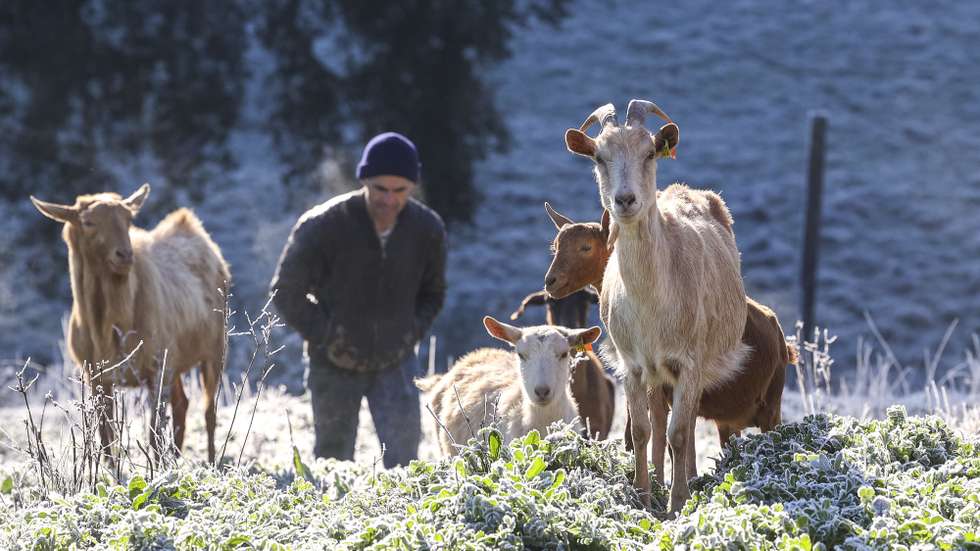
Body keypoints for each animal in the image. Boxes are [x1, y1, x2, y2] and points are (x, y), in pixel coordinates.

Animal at [31, 184, 230, 463]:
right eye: (88, 222)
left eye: (128, 219)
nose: (125, 255)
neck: (106, 329)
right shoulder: (97, 376)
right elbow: (107, 438)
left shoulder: (157, 366)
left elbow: (153, 434)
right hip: (176, 361)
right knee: (182, 403)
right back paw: (178, 459)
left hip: (213, 351)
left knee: (209, 411)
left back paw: (211, 463)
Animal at [542, 203, 797, 483]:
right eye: (556, 246)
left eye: (586, 247)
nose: (550, 281)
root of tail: (780, 339)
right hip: (731, 420)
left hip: (771, 407)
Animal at [565, 99, 748, 512]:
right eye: (599, 156)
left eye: (649, 153)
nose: (625, 200)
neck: (651, 306)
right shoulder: (632, 365)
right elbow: (642, 430)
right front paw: (643, 497)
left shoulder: (690, 361)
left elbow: (680, 432)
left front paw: (678, 503)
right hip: (654, 372)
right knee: (658, 420)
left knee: (687, 422)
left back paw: (689, 478)